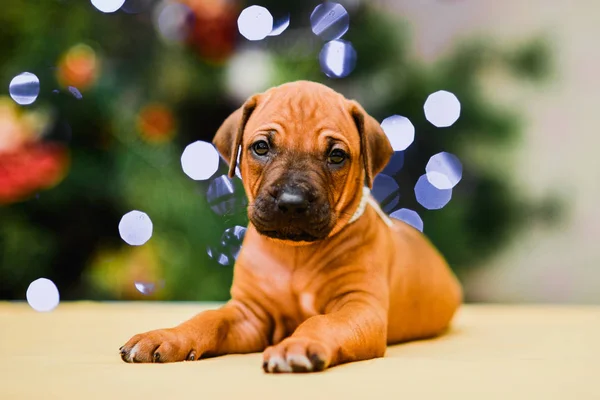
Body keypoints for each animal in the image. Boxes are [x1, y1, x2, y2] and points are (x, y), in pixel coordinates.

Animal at [119, 80, 462, 372]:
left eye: (337, 155)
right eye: (261, 147)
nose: (292, 202)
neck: (296, 253)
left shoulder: (359, 307)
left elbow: (321, 321)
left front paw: (298, 344)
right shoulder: (248, 313)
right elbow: (208, 317)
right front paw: (166, 335)